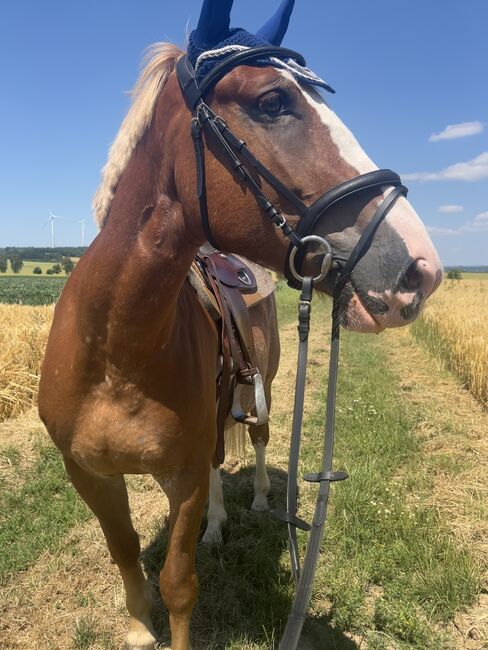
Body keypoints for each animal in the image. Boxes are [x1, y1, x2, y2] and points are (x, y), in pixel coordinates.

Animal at [38, 2, 442, 644]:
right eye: (272, 100)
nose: (420, 269)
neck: (115, 352)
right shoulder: (89, 474)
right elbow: (124, 550)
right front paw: (138, 626)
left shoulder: (181, 474)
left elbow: (180, 584)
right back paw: (216, 526)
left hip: (263, 391)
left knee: (255, 442)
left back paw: (254, 503)